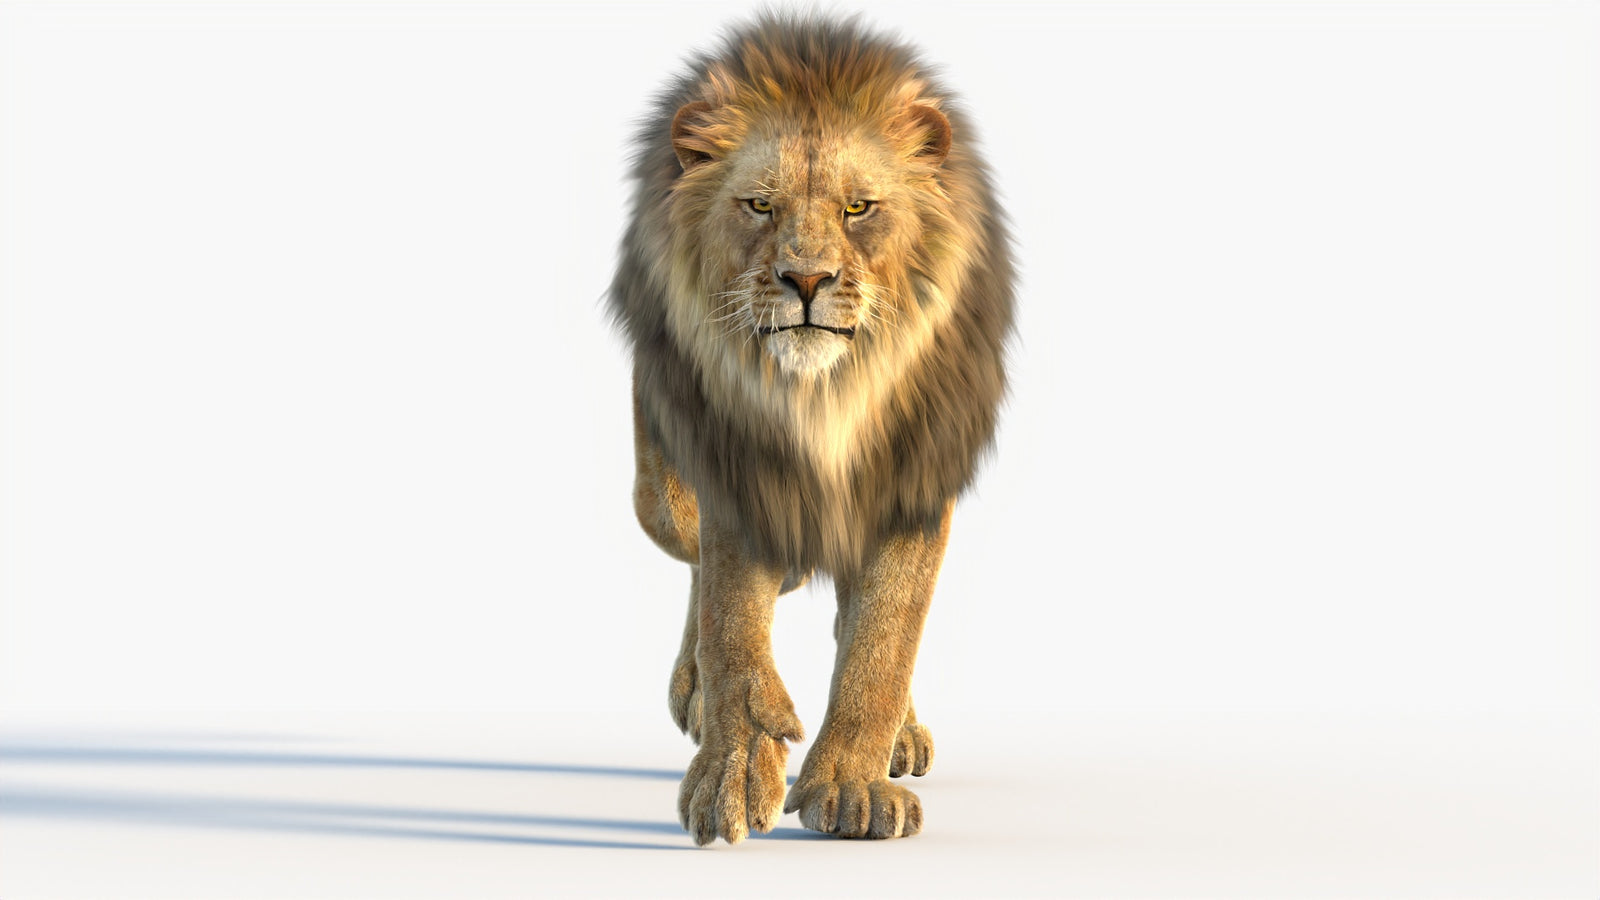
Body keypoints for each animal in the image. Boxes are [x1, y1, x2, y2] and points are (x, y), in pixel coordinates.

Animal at [608, 14, 1014, 845]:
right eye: (760, 206)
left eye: (859, 209)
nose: (806, 280)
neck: (825, 397)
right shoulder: (731, 457)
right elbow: (731, 614)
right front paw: (734, 769)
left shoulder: (916, 475)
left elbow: (884, 639)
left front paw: (851, 788)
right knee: (683, 540)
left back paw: (900, 736)